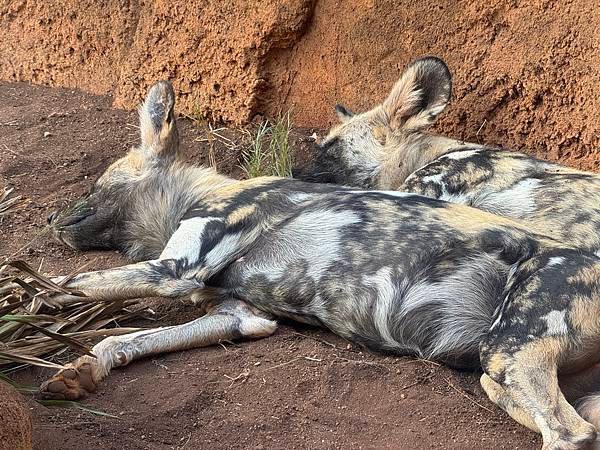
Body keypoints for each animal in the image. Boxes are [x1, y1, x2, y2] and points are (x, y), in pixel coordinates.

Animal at [41, 81, 600, 450]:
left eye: (96, 186)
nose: (50, 218)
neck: (195, 193)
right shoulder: (240, 316)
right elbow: (125, 340)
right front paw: (82, 370)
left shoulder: (175, 270)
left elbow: (68, 283)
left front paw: (30, 301)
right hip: (508, 375)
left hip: (508, 352)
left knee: (569, 434)